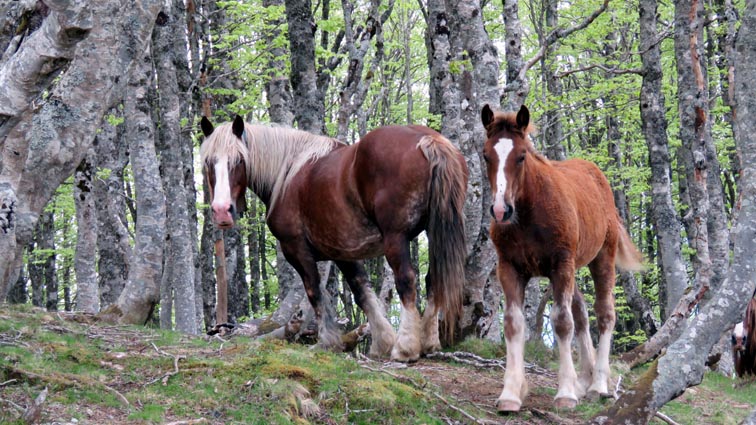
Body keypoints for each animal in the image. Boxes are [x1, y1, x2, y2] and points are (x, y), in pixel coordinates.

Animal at [199, 117, 466, 362]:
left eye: (239, 160)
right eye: (209, 162)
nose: (222, 211)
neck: (288, 172)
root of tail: (428, 139)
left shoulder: (297, 250)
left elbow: (315, 292)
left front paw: (328, 342)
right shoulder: (344, 252)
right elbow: (362, 293)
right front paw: (381, 343)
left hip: (396, 239)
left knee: (407, 281)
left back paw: (406, 348)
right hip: (433, 231)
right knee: (433, 280)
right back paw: (429, 342)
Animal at [482, 103, 640, 410]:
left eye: (521, 156)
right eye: (486, 155)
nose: (500, 210)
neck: (528, 214)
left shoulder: (560, 264)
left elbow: (562, 322)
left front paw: (565, 392)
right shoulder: (509, 268)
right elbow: (514, 323)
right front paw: (511, 393)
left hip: (600, 258)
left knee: (604, 313)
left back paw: (598, 384)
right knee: (582, 312)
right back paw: (586, 378)